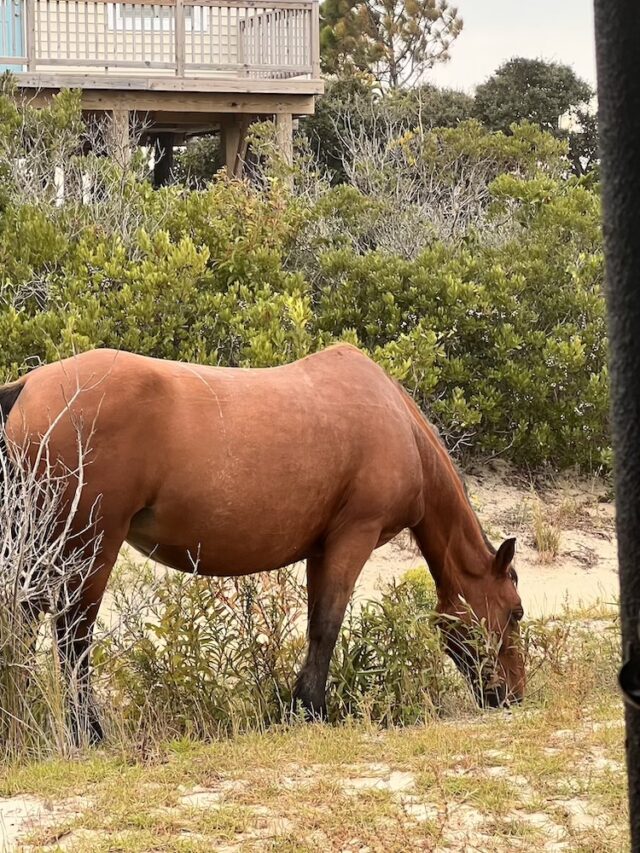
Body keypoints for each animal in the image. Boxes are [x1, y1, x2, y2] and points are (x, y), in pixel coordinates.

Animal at [0, 342, 524, 744]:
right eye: (516, 612)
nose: (514, 695)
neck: (401, 426)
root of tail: (29, 386)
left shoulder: (322, 548)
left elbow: (316, 624)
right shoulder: (354, 536)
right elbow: (327, 627)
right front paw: (311, 711)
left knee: (25, 624)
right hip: (89, 545)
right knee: (73, 636)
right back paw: (89, 734)